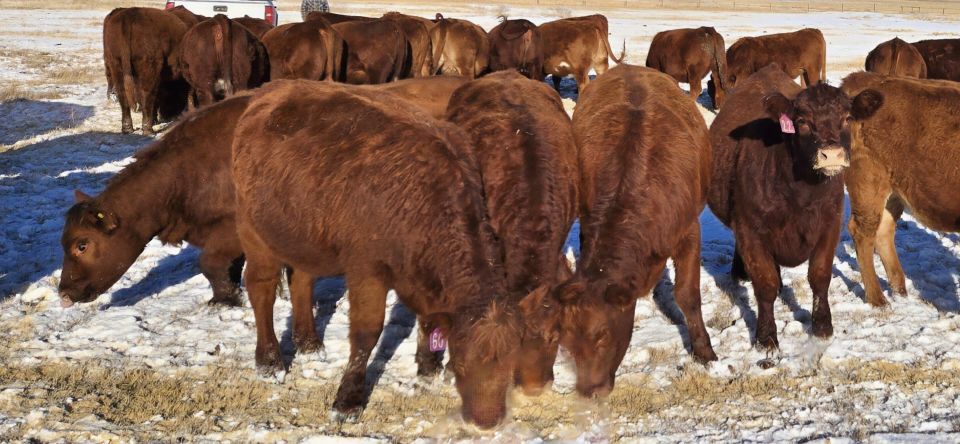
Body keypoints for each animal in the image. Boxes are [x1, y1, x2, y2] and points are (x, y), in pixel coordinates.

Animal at [231, 79, 524, 428]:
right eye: (463, 364)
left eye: (510, 367)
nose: (487, 421)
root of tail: (274, 88)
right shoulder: (366, 269)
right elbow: (367, 333)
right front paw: (347, 400)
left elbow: (430, 318)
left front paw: (428, 368)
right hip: (254, 231)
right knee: (260, 288)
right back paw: (270, 361)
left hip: (306, 236)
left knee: (301, 281)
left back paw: (310, 344)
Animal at [556, 65, 716, 397]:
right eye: (566, 339)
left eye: (603, 335)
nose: (589, 390)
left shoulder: (689, 231)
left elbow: (687, 294)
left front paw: (704, 351)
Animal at [708, 64, 861, 351]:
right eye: (801, 122)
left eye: (848, 118)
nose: (832, 155)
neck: (801, 195)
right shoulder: (751, 231)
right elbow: (764, 284)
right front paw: (766, 336)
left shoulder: (830, 225)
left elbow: (820, 276)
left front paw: (822, 326)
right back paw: (740, 273)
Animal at [840, 72, 960, 307]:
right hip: (868, 185)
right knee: (862, 232)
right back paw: (878, 299)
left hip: (894, 193)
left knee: (884, 230)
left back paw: (900, 292)